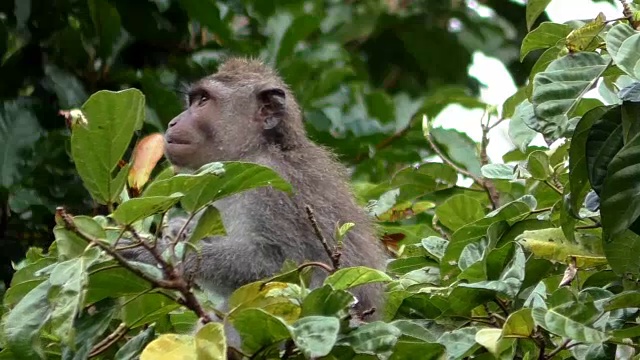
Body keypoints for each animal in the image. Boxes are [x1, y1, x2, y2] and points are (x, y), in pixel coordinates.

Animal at [122, 57, 388, 348]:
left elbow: (278, 267)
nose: (173, 122)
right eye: (193, 100)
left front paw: (155, 253)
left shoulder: (271, 188)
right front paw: (180, 230)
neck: (258, 149)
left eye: (203, 100)